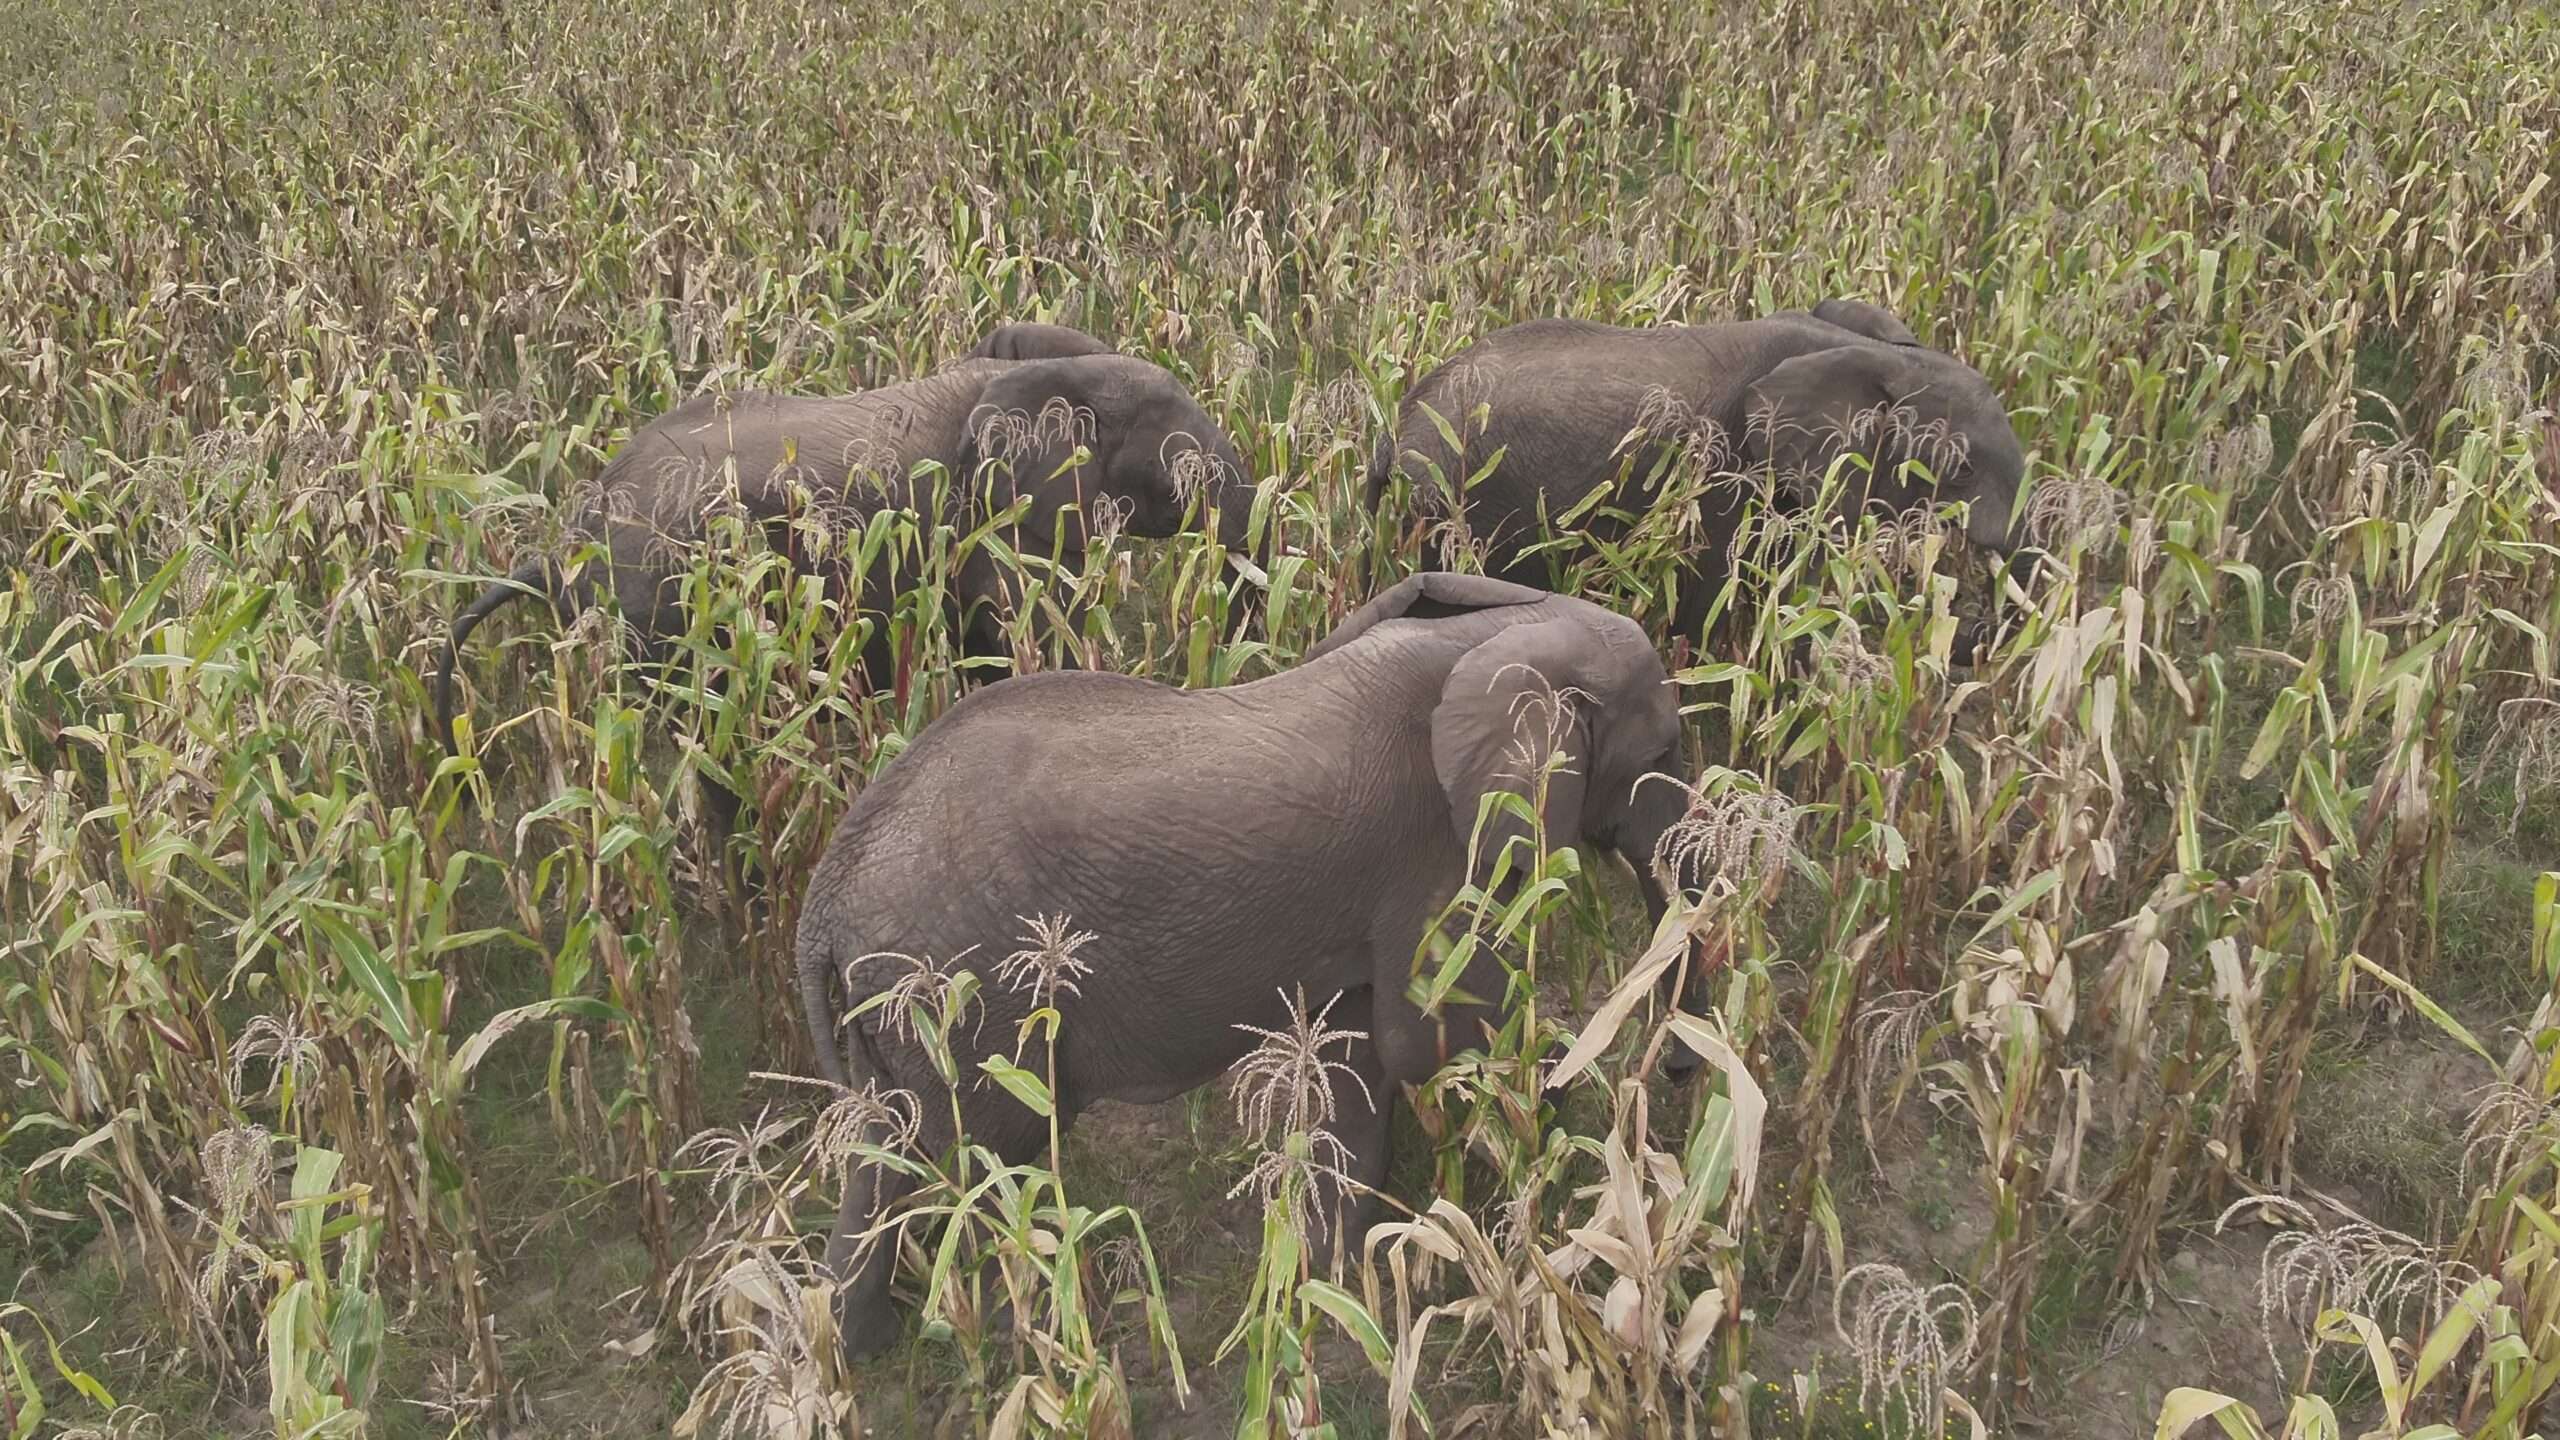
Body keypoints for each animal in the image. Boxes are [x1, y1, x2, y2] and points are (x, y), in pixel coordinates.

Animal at [796, 571, 1704, 1361]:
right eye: (1664, 749)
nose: (1682, 1076)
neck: (1506, 635)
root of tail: (825, 899)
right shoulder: (1437, 850)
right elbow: (1433, 1036)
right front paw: (1560, 1124)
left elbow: (1365, 1053)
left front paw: (1333, 1277)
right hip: (970, 997)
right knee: (977, 1164)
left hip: (908, 1014)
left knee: (891, 1155)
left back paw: (859, 1352)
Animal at [1366, 298, 2026, 651]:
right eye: (1960, 467)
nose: (1967, 620)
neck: (1874, 352)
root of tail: (1398, 424)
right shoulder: (1722, 472)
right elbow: (1726, 610)